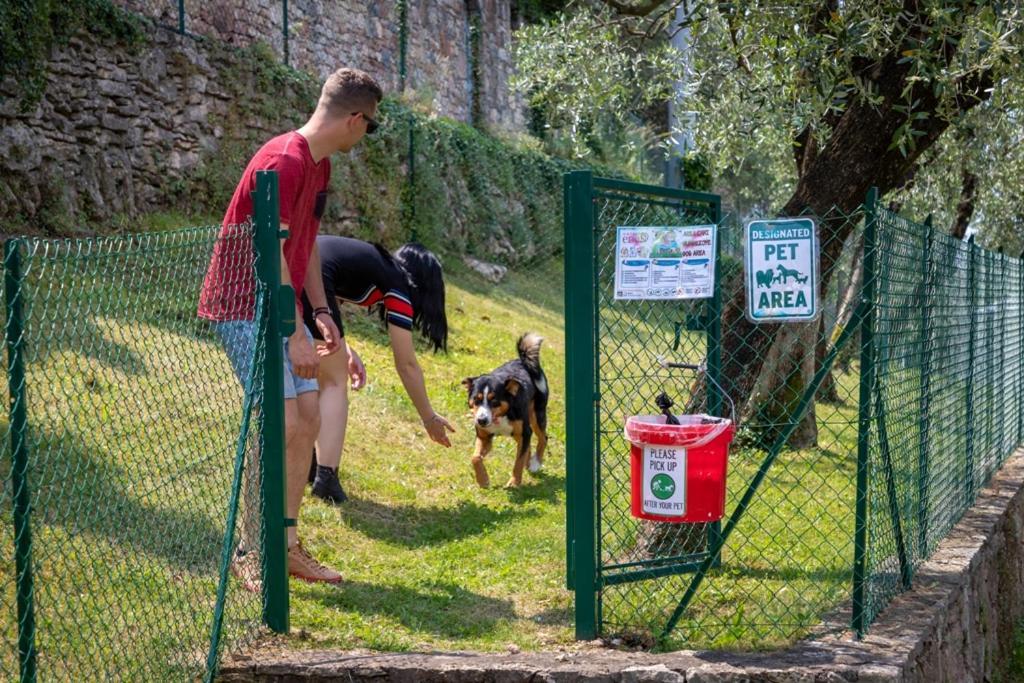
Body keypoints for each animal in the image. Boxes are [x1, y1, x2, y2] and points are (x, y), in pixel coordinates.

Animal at [460, 333, 548, 489]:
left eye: (494, 401)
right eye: (476, 400)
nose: (481, 420)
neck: (501, 415)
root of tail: (524, 361)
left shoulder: (524, 431)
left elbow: (518, 461)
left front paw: (514, 482)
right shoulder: (484, 436)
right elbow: (475, 458)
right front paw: (483, 479)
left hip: (537, 415)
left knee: (543, 438)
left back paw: (535, 463)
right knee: (528, 446)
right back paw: (529, 463)